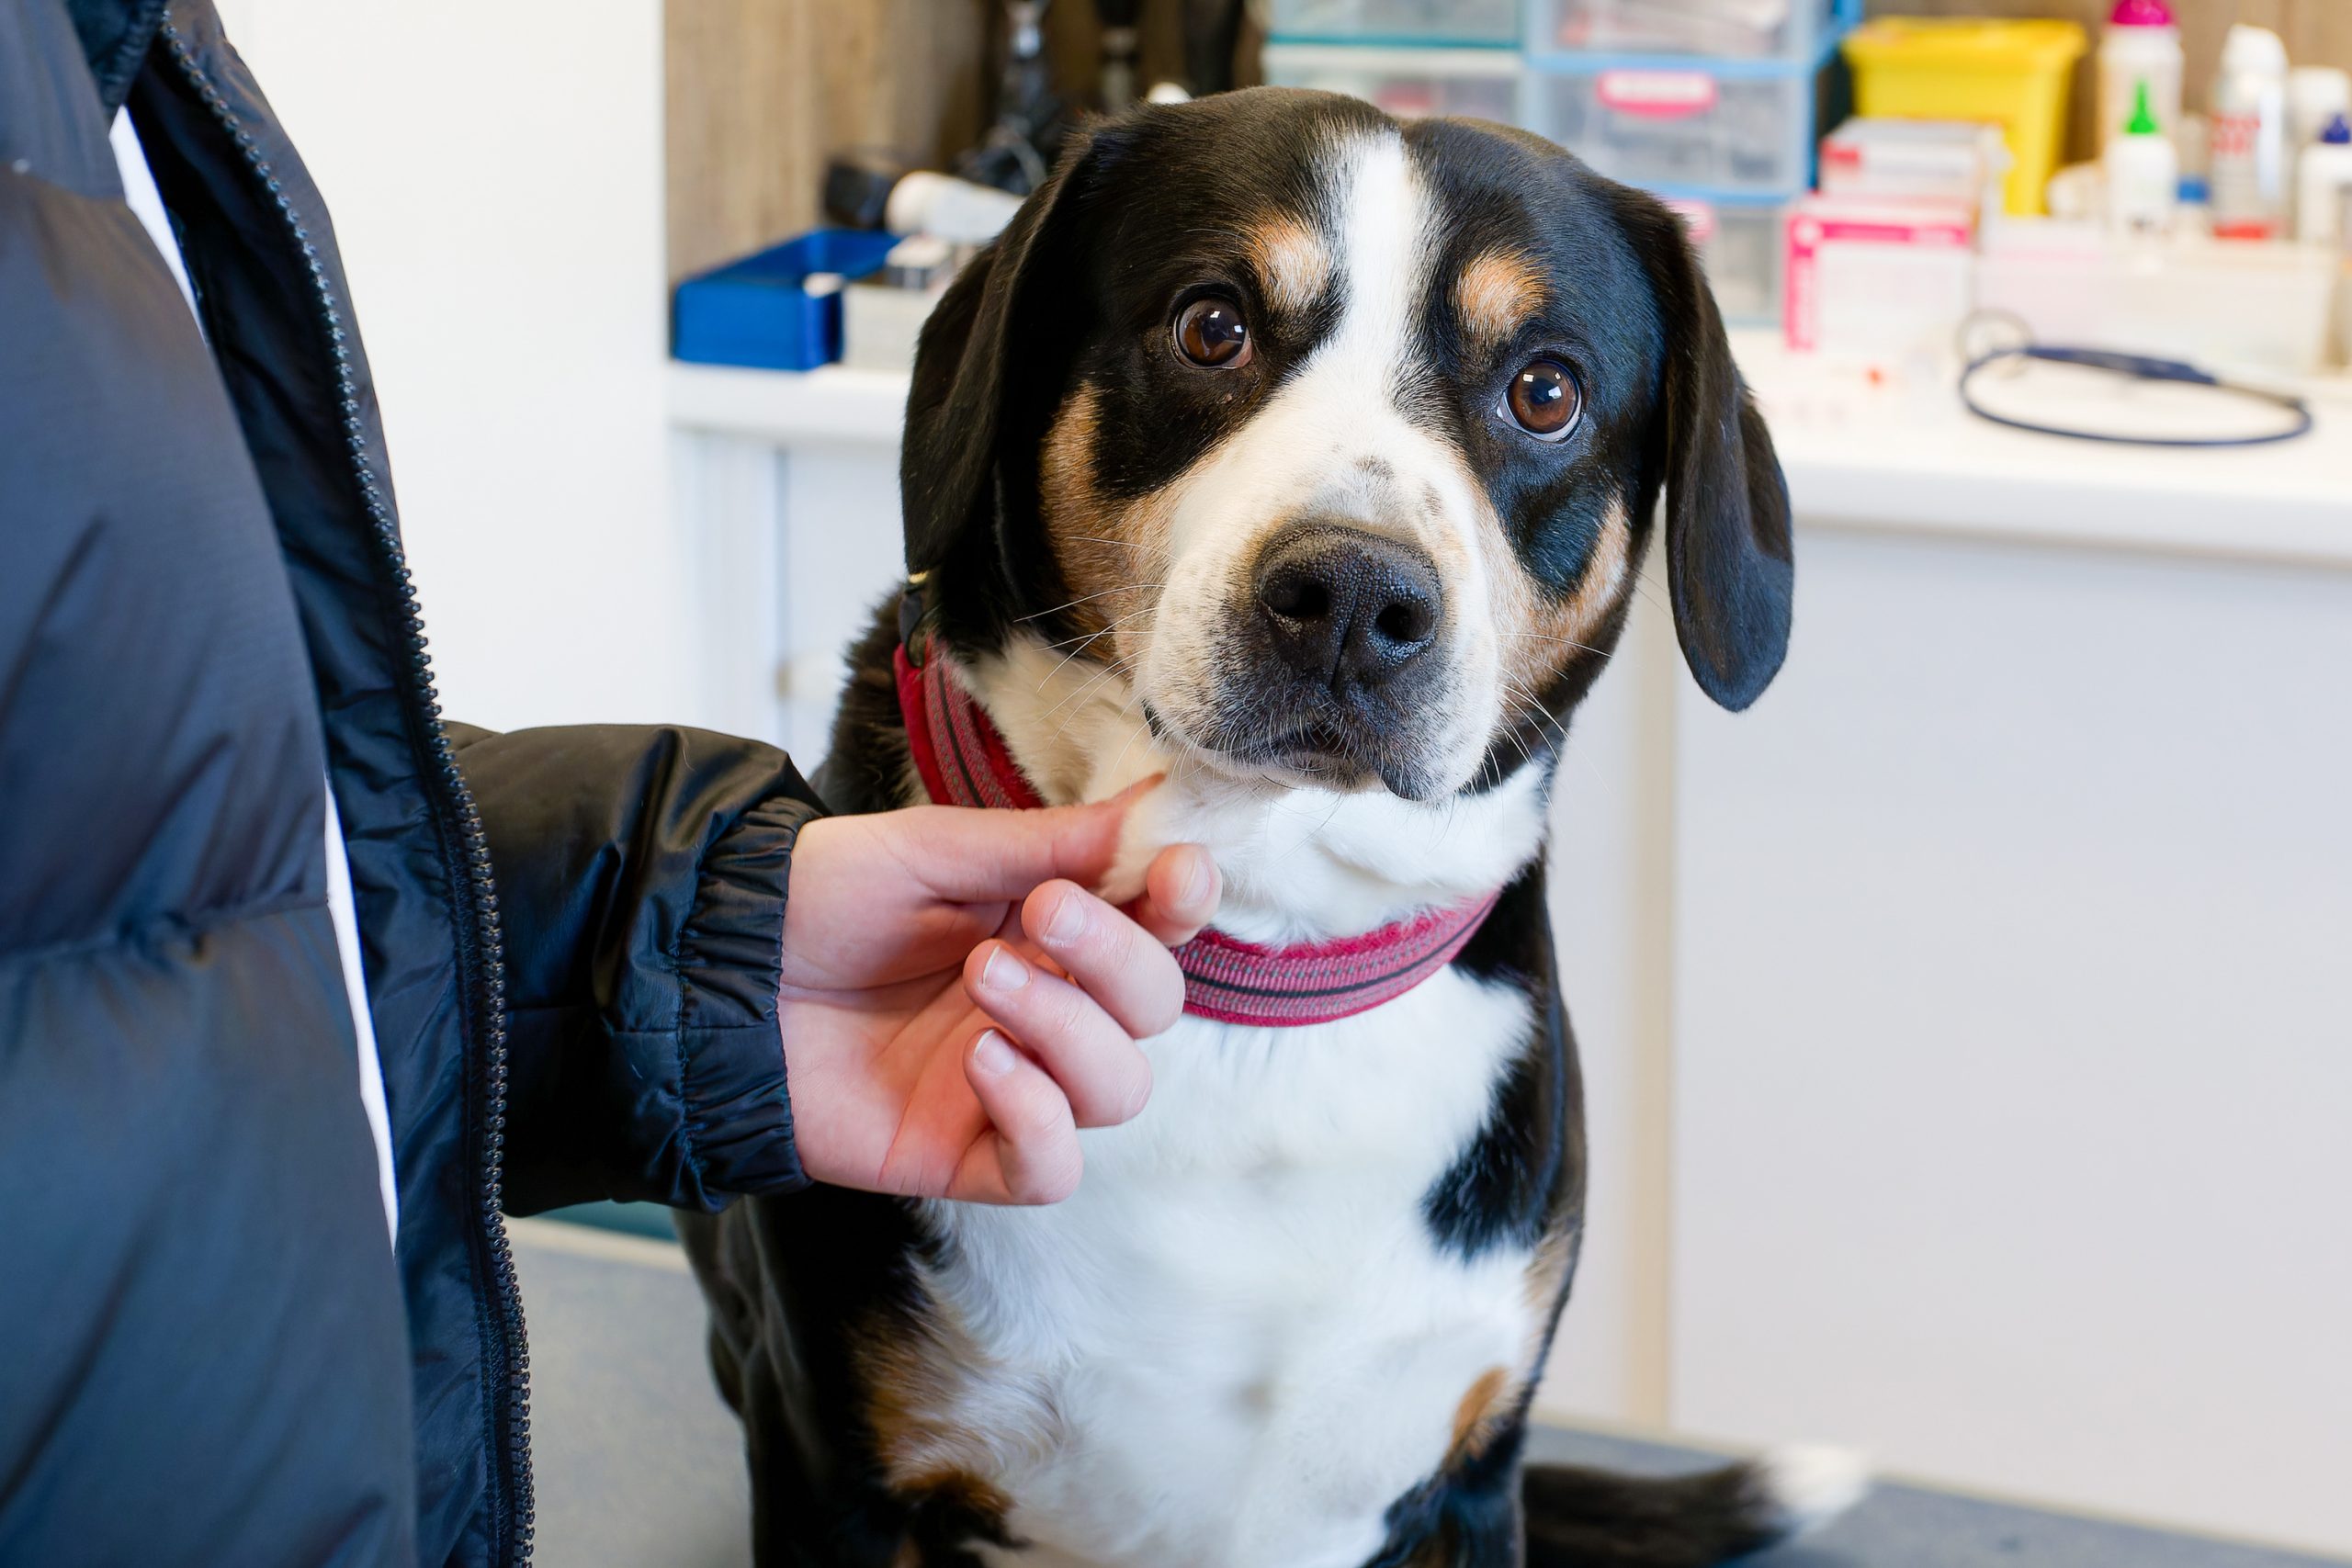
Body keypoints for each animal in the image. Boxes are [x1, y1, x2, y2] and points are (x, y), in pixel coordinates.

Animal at [680, 87, 1856, 1568]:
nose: (1353, 596)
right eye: (1211, 325)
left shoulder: (1473, 1472)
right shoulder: (831, 1462)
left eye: (1544, 391)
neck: (1259, 961)